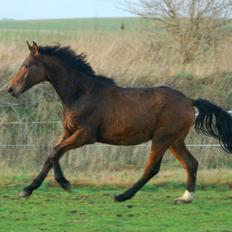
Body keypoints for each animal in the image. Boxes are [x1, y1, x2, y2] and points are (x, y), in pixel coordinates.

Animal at [7, 41, 232, 203]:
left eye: (27, 65)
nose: (10, 89)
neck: (82, 93)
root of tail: (189, 101)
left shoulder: (86, 135)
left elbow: (54, 152)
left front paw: (38, 187)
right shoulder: (68, 132)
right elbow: (53, 154)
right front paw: (53, 185)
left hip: (162, 138)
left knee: (152, 168)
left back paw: (122, 196)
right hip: (175, 141)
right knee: (191, 163)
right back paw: (185, 197)